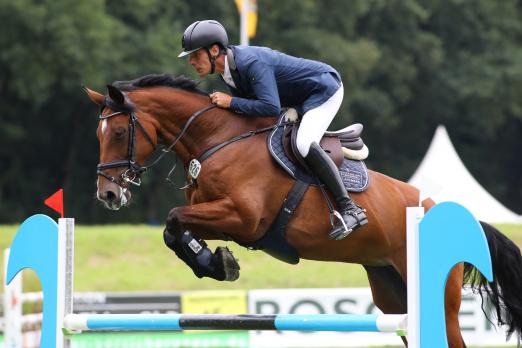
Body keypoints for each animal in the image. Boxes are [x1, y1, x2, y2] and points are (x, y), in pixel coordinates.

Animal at [86, 72, 520, 346]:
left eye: (120, 132)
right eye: (98, 133)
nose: (108, 195)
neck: (217, 139)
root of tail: (443, 209)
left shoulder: (243, 218)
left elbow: (174, 218)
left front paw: (218, 263)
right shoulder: (219, 217)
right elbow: (173, 229)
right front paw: (216, 263)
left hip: (438, 302)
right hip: (393, 294)